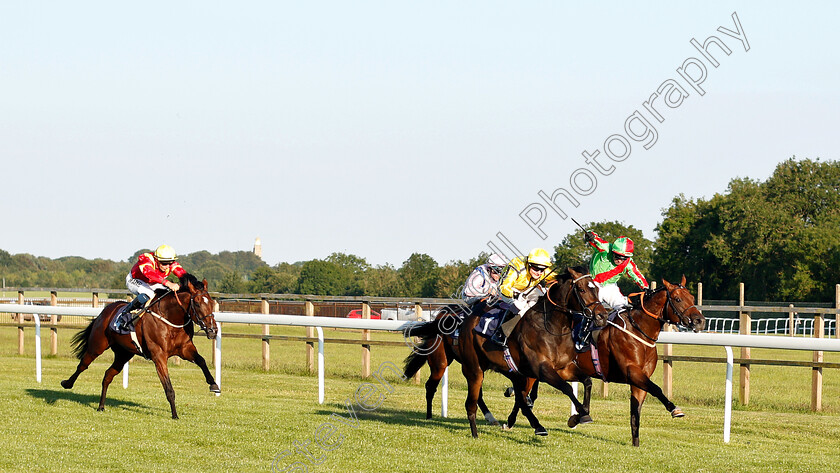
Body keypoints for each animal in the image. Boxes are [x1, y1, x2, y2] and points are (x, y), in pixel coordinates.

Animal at [62, 272, 220, 418]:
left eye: (212, 304)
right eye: (197, 303)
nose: (213, 330)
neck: (170, 317)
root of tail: (106, 310)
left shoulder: (185, 348)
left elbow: (201, 360)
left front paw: (214, 385)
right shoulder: (159, 356)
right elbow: (168, 388)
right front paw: (174, 415)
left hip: (123, 354)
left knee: (108, 375)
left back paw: (101, 406)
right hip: (97, 346)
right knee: (83, 365)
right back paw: (67, 383)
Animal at [402, 268, 604, 436]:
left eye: (597, 289)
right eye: (582, 290)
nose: (601, 315)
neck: (551, 327)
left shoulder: (564, 368)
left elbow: (586, 382)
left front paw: (580, 415)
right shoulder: (542, 369)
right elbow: (566, 388)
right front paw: (579, 415)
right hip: (450, 363)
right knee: (435, 386)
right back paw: (434, 417)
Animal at [506, 274, 708, 444]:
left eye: (692, 298)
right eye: (678, 299)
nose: (700, 321)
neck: (638, 331)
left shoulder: (637, 381)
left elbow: (635, 414)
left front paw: (635, 445)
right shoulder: (632, 372)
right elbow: (656, 389)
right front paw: (675, 409)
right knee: (521, 395)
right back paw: (513, 422)